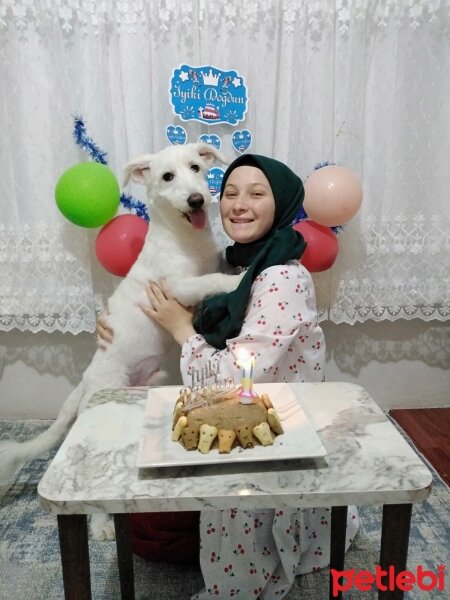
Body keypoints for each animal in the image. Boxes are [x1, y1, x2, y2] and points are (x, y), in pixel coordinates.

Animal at [0, 142, 243, 540]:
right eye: (167, 177)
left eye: (196, 167)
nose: (196, 200)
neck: (186, 239)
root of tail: (85, 384)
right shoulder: (177, 288)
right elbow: (210, 281)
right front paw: (237, 281)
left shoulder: (209, 263)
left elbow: (216, 269)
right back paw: (101, 526)